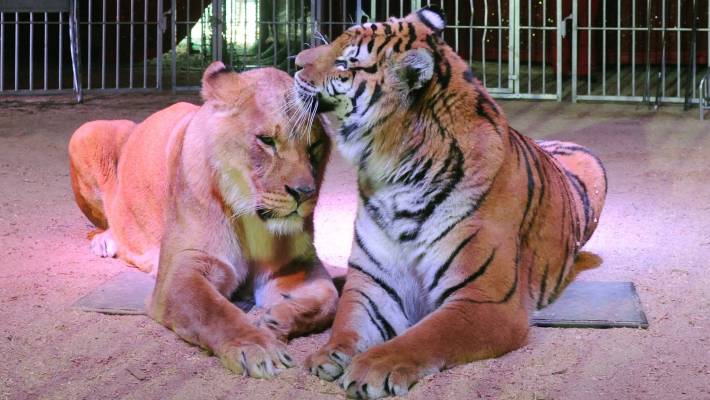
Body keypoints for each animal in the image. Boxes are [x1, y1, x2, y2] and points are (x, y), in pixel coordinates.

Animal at [68, 62, 338, 378]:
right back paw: (105, 241)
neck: (251, 220)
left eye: (314, 145)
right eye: (267, 140)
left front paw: (274, 320)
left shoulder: (295, 265)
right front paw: (257, 347)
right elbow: (214, 311)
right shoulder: (182, 270)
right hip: (86, 132)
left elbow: (329, 299)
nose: (305, 193)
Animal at [290, 6, 607, 398]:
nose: (294, 63)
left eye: (344, 63)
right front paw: (329, 354)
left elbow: (423, 336)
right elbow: (348, 321)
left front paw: (372, 367)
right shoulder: (373, 282)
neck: (393, 174)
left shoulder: (484, 299)